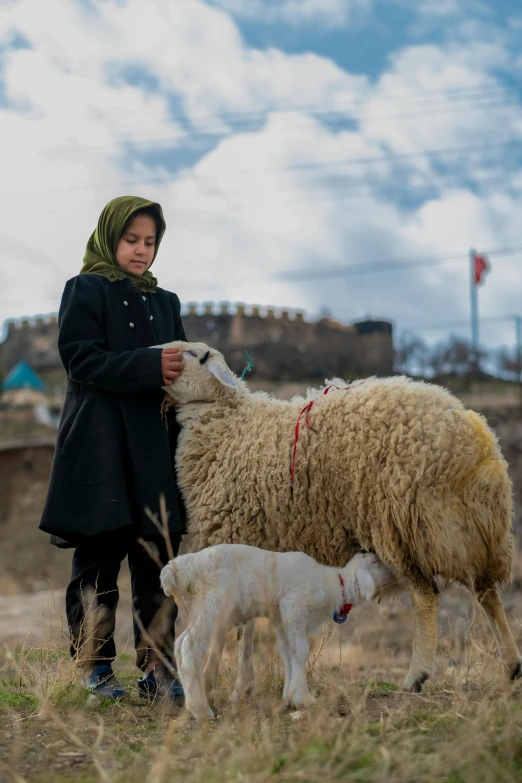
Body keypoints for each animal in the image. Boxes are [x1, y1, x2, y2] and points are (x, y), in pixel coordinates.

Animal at [160, 340, 516, 696]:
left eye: (194, 355)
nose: (161, 354)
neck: (228, 427)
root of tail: (477, 440)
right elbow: (246, 624)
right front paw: (241, 686)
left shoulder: (234, 536)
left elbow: (233, 627)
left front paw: (219, 682)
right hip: (467, 529)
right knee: (486, 591)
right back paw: (512, 667)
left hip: (403, 525)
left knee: (426, 596)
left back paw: (416, 676)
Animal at [160, 544, 392, 716]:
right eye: (374, 561)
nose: (393, 570)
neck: (331, 584)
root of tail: (183, 566)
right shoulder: (293, 605)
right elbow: (300, 651)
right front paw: (303, 697)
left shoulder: (281, 617)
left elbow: (287, 654)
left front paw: (290, 696)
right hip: (213, 603)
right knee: (190, 646)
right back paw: (201, 710)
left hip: (196, 606)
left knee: (180, 643)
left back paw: (191, 701)